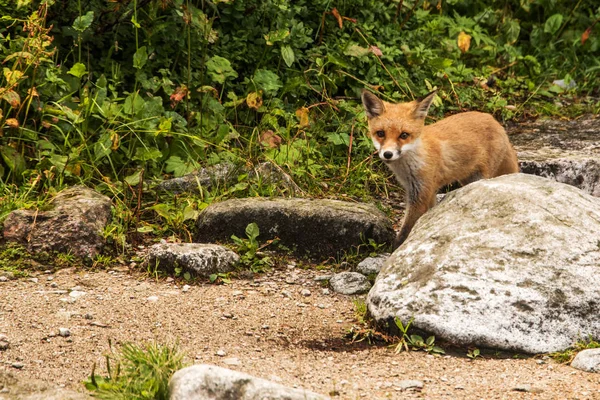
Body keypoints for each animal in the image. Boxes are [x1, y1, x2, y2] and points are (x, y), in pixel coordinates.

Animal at [360, 89, 520, 248]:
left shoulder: (421, 193)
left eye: (404, 135)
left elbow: (406, 230)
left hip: (481, 177)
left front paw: (396, 248)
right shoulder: (425, 191)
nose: (388, 154)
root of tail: (494, 120)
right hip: (467, 179)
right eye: (381, 133)